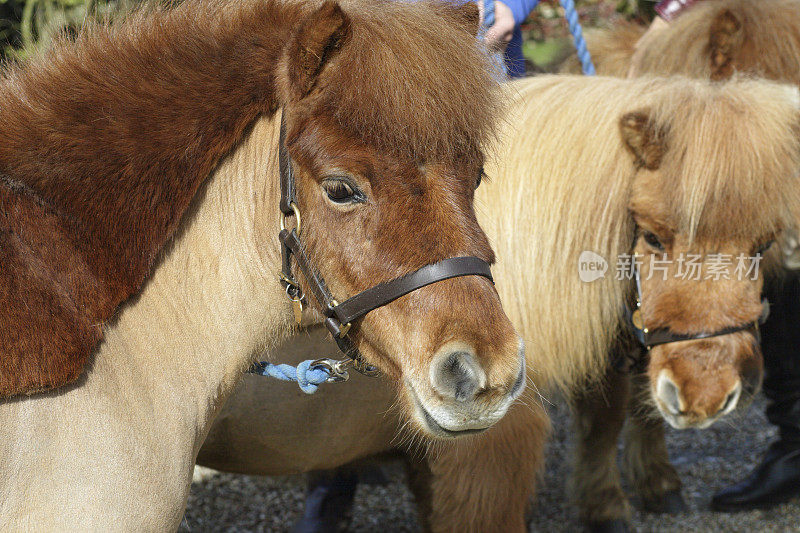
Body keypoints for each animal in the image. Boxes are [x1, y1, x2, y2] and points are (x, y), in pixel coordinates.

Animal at [197, 75, 800, 532]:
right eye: (652, 236)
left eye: (763, 244)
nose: (706, 395)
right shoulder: (488, 450)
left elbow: (607, 416)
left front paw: (620, 499)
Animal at [560, 0, 800, 524]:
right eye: (651, 234)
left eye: (762, 244)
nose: (707, 396)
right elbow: (603, 416)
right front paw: (605, 507)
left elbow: (645, 403)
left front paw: (657, 484)